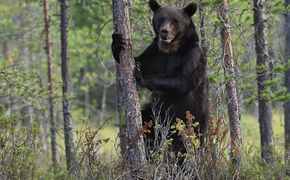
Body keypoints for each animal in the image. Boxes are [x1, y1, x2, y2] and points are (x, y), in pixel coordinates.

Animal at [111, 0, 208, 163]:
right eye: (161, 19)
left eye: (175, 21)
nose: (164, 32)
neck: (171, 48)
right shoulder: (156, 53)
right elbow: (139, 61)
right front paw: (117, 42)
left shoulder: (191, 56)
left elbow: (182, 80)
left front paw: (141, 77)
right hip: (155, 114)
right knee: (146, 123)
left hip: (192, 121)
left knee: (185, 148)